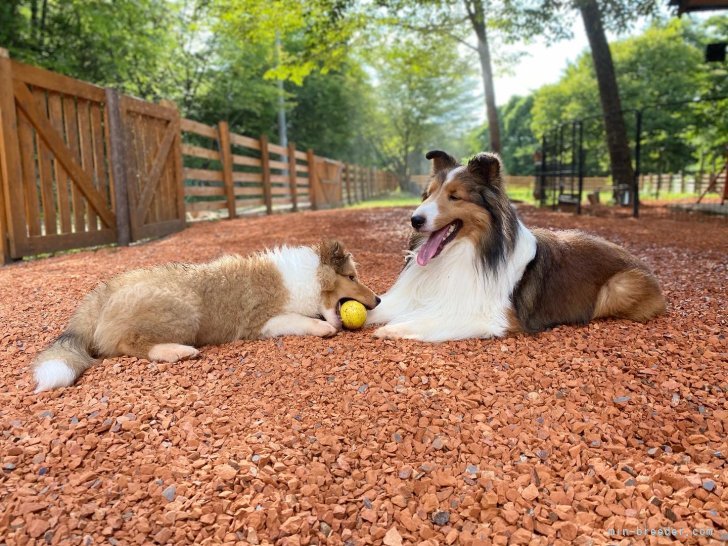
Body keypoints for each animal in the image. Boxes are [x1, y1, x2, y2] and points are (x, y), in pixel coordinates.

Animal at [32, 240, 382, 388]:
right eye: (351, 277)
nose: (378, 300)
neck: (308, 276)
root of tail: (102, 293)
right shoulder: (261, 321)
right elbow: (301, 320)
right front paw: (323, 328)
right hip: (185, 309)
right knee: (126, 345)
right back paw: (176, 351)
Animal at [370, 151, 664, 340]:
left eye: (454, 197)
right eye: (429, 194)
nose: (415, 220)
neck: (465, 252)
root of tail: (641, 262)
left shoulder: (491, 316)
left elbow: (429, 320)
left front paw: (391, 328)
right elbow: (376, 306)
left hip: (619, 286)